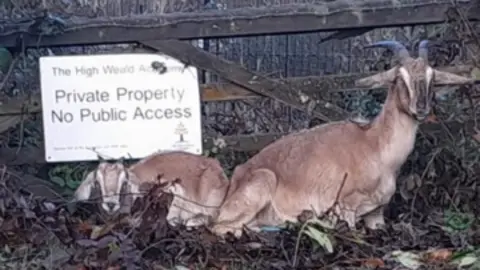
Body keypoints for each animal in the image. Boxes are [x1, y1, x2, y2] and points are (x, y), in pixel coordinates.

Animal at [210, 39, 472, 237]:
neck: (375, 146)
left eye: (432, 77)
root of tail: (235, 180)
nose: (421, 108)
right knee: (221, 228)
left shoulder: (376, 213)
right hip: (260, 184)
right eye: (400, 78)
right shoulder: (347, 207)